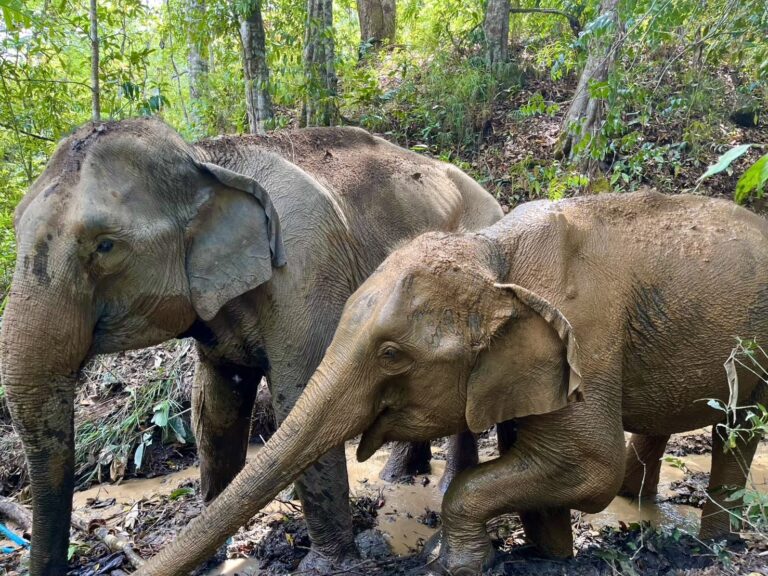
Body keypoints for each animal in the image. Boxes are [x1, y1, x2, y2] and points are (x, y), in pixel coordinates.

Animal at [0, 117, 503, 575]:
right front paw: (208, 560)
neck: (206, 157)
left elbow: (297, 399)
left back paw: (442, 487)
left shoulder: (305, 270)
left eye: (105, 246)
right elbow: (214, 408)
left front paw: (325, 567)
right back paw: (397, 476)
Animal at [134, 190, 768, 576]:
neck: (493, 251)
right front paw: (548, 556)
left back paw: (718, 544)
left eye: (391, 355)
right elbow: (535, 453)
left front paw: (455, 562)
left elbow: (590, 465)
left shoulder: (586, 343)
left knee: (738, 431)